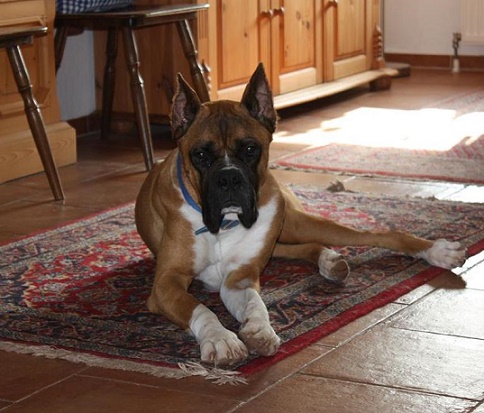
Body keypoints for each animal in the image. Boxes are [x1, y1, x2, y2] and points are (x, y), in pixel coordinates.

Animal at [135, 64, 467, 366]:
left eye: (250, 149)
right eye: (201, 155)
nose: (229, 178)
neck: (224, 225)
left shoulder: (241, 276)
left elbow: (255, 303)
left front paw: (259, 329)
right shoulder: (167, 283)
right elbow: (200, 308)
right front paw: (220, 339)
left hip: (296, 223)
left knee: (377, 234)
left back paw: (437, 251)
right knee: (305, 248)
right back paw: (331, 261)